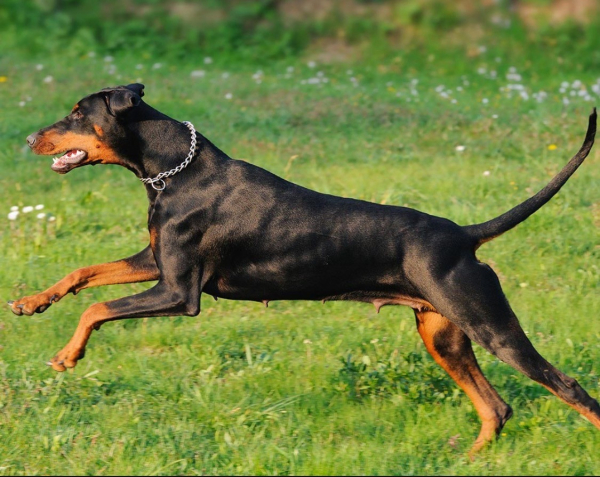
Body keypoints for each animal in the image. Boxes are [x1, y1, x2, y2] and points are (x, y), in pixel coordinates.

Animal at [10, 82, 600, 454]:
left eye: (77, 114)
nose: (28, 138)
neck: (172, 171)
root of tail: (464, 235)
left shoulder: (179, 293)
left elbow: (96, 305)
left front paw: (67, 355)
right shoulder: (154, 263)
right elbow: (85, 273)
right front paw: (30, 302)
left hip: (490, 326)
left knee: (566, 386)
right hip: (443, 336)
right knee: (496, 408)